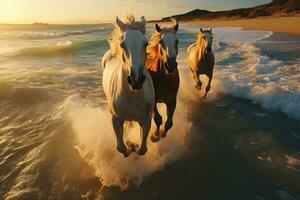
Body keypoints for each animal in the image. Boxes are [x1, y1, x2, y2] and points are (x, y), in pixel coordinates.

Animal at [102, 14, 155, 158]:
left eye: (146, 43)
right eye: (122, 44)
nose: (136, 80)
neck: (132, 96)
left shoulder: (146, 120)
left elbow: (142, 150)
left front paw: (134, 147)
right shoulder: (116, 120)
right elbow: (121, 148)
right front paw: (129, 147)